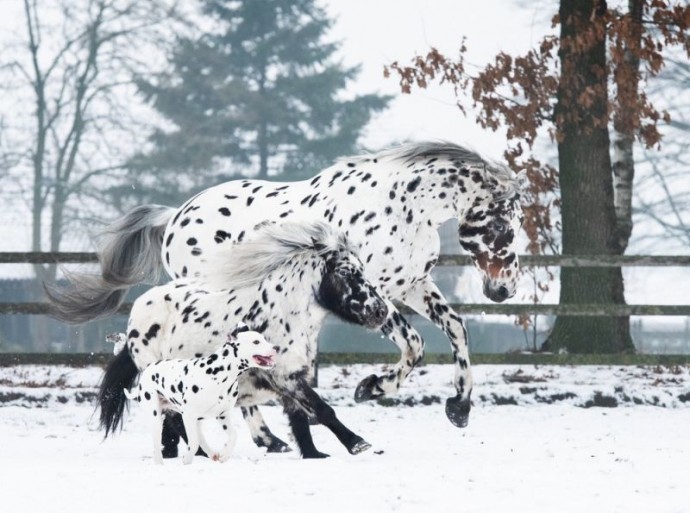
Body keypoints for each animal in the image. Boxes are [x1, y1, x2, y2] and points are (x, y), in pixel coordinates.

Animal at [47, 141, 520, 432]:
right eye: (503, 226)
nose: (504, 290)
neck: (401, 206)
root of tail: (175, 215)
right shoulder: (376, 295)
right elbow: (415, 344)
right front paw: (371, 388)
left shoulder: (412, 285)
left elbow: (456, 329)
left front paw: (459, 408)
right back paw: (264, 436)